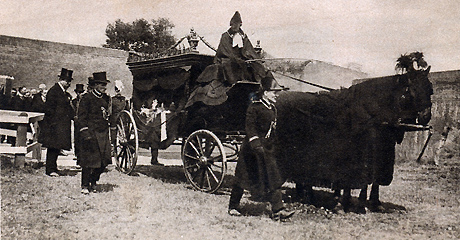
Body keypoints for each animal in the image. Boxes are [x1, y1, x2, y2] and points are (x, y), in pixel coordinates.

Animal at [274, 66, 434, 213]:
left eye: (430, 90)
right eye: (412, 90)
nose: (426, 116)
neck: (372, 111)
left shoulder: (383, 150)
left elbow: (374, 179)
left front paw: (373, 202)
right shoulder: (362, 153)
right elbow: (361, 179)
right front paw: (355, 203)